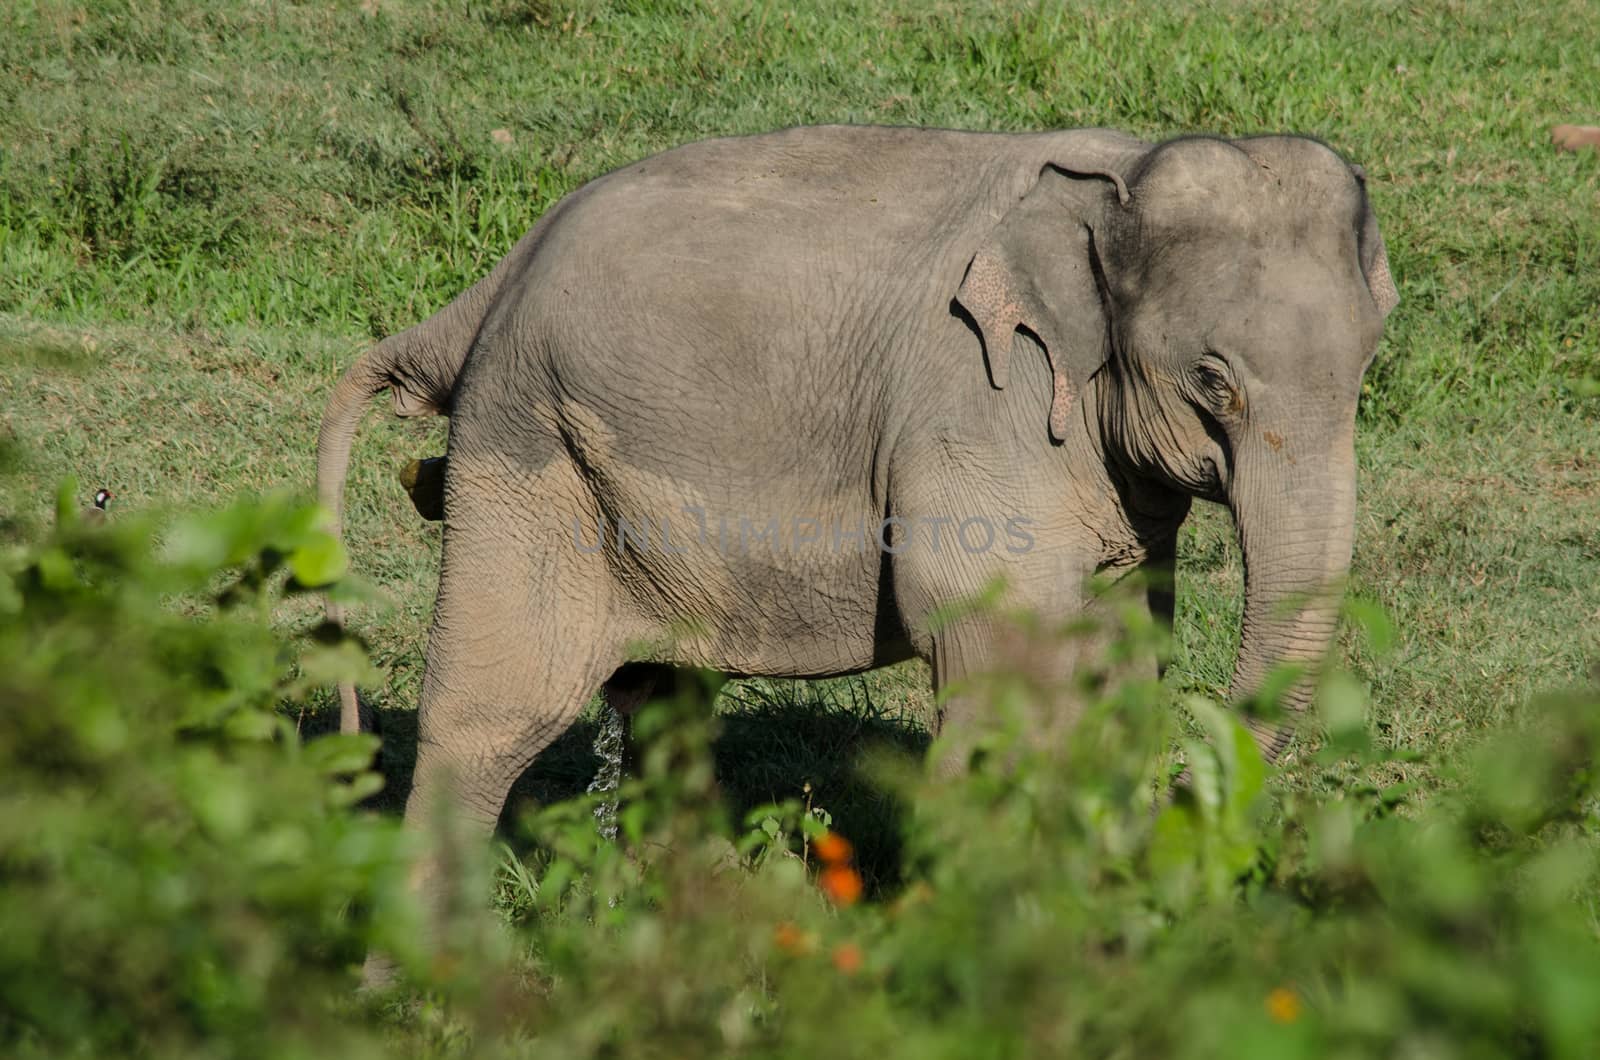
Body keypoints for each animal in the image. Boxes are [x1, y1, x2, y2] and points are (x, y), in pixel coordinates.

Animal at [312, 122, 1388, 877]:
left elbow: (1116, 653)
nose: (1180, 812)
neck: (1119, 167)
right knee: (494, 714)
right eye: (1214, 381)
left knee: (665, 693)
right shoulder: (974, 398)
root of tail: (490, 285)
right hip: (526, 448)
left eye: (1368, 363)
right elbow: (996, 663)